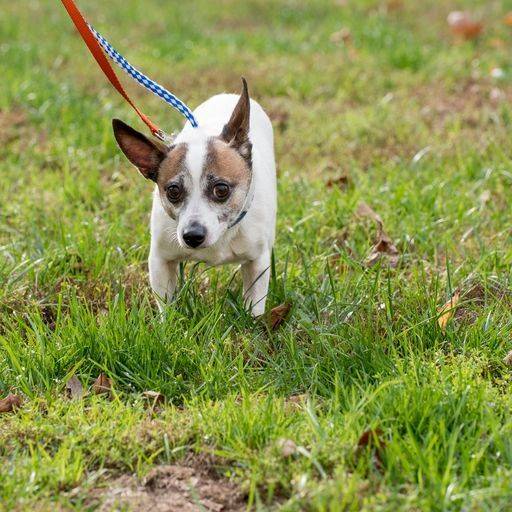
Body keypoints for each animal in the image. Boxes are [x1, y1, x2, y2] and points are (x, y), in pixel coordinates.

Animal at [111, 78, 276, 316]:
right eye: (173, 191)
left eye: (221, 190)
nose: (192, 235)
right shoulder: (160, 260)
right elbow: (166, 305)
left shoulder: (258, 263)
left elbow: (254, 305)